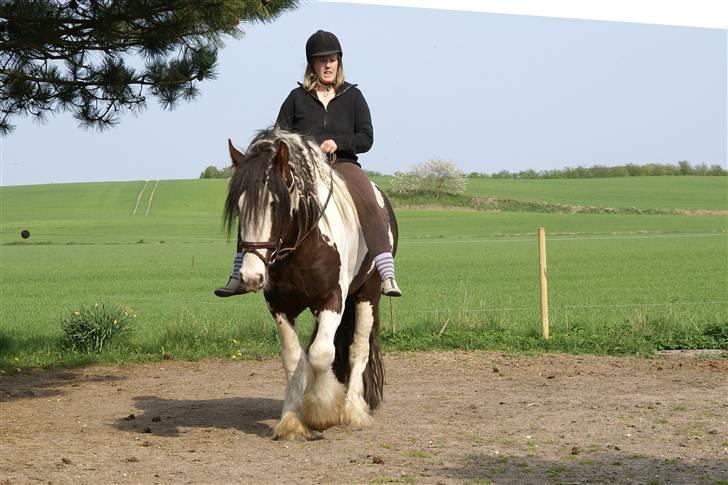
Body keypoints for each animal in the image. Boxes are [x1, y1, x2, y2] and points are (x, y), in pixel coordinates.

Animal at [225, 127, 400, 438]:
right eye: (239, 205)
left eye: (275, 204)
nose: (251, 276)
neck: (302, 243)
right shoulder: (280, 306)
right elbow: (295, 357)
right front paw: (293, 418)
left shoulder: (333, 299)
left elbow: (320, 354)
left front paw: (321, 412)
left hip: (367, 294)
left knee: (358, 348)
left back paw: (352, 407)